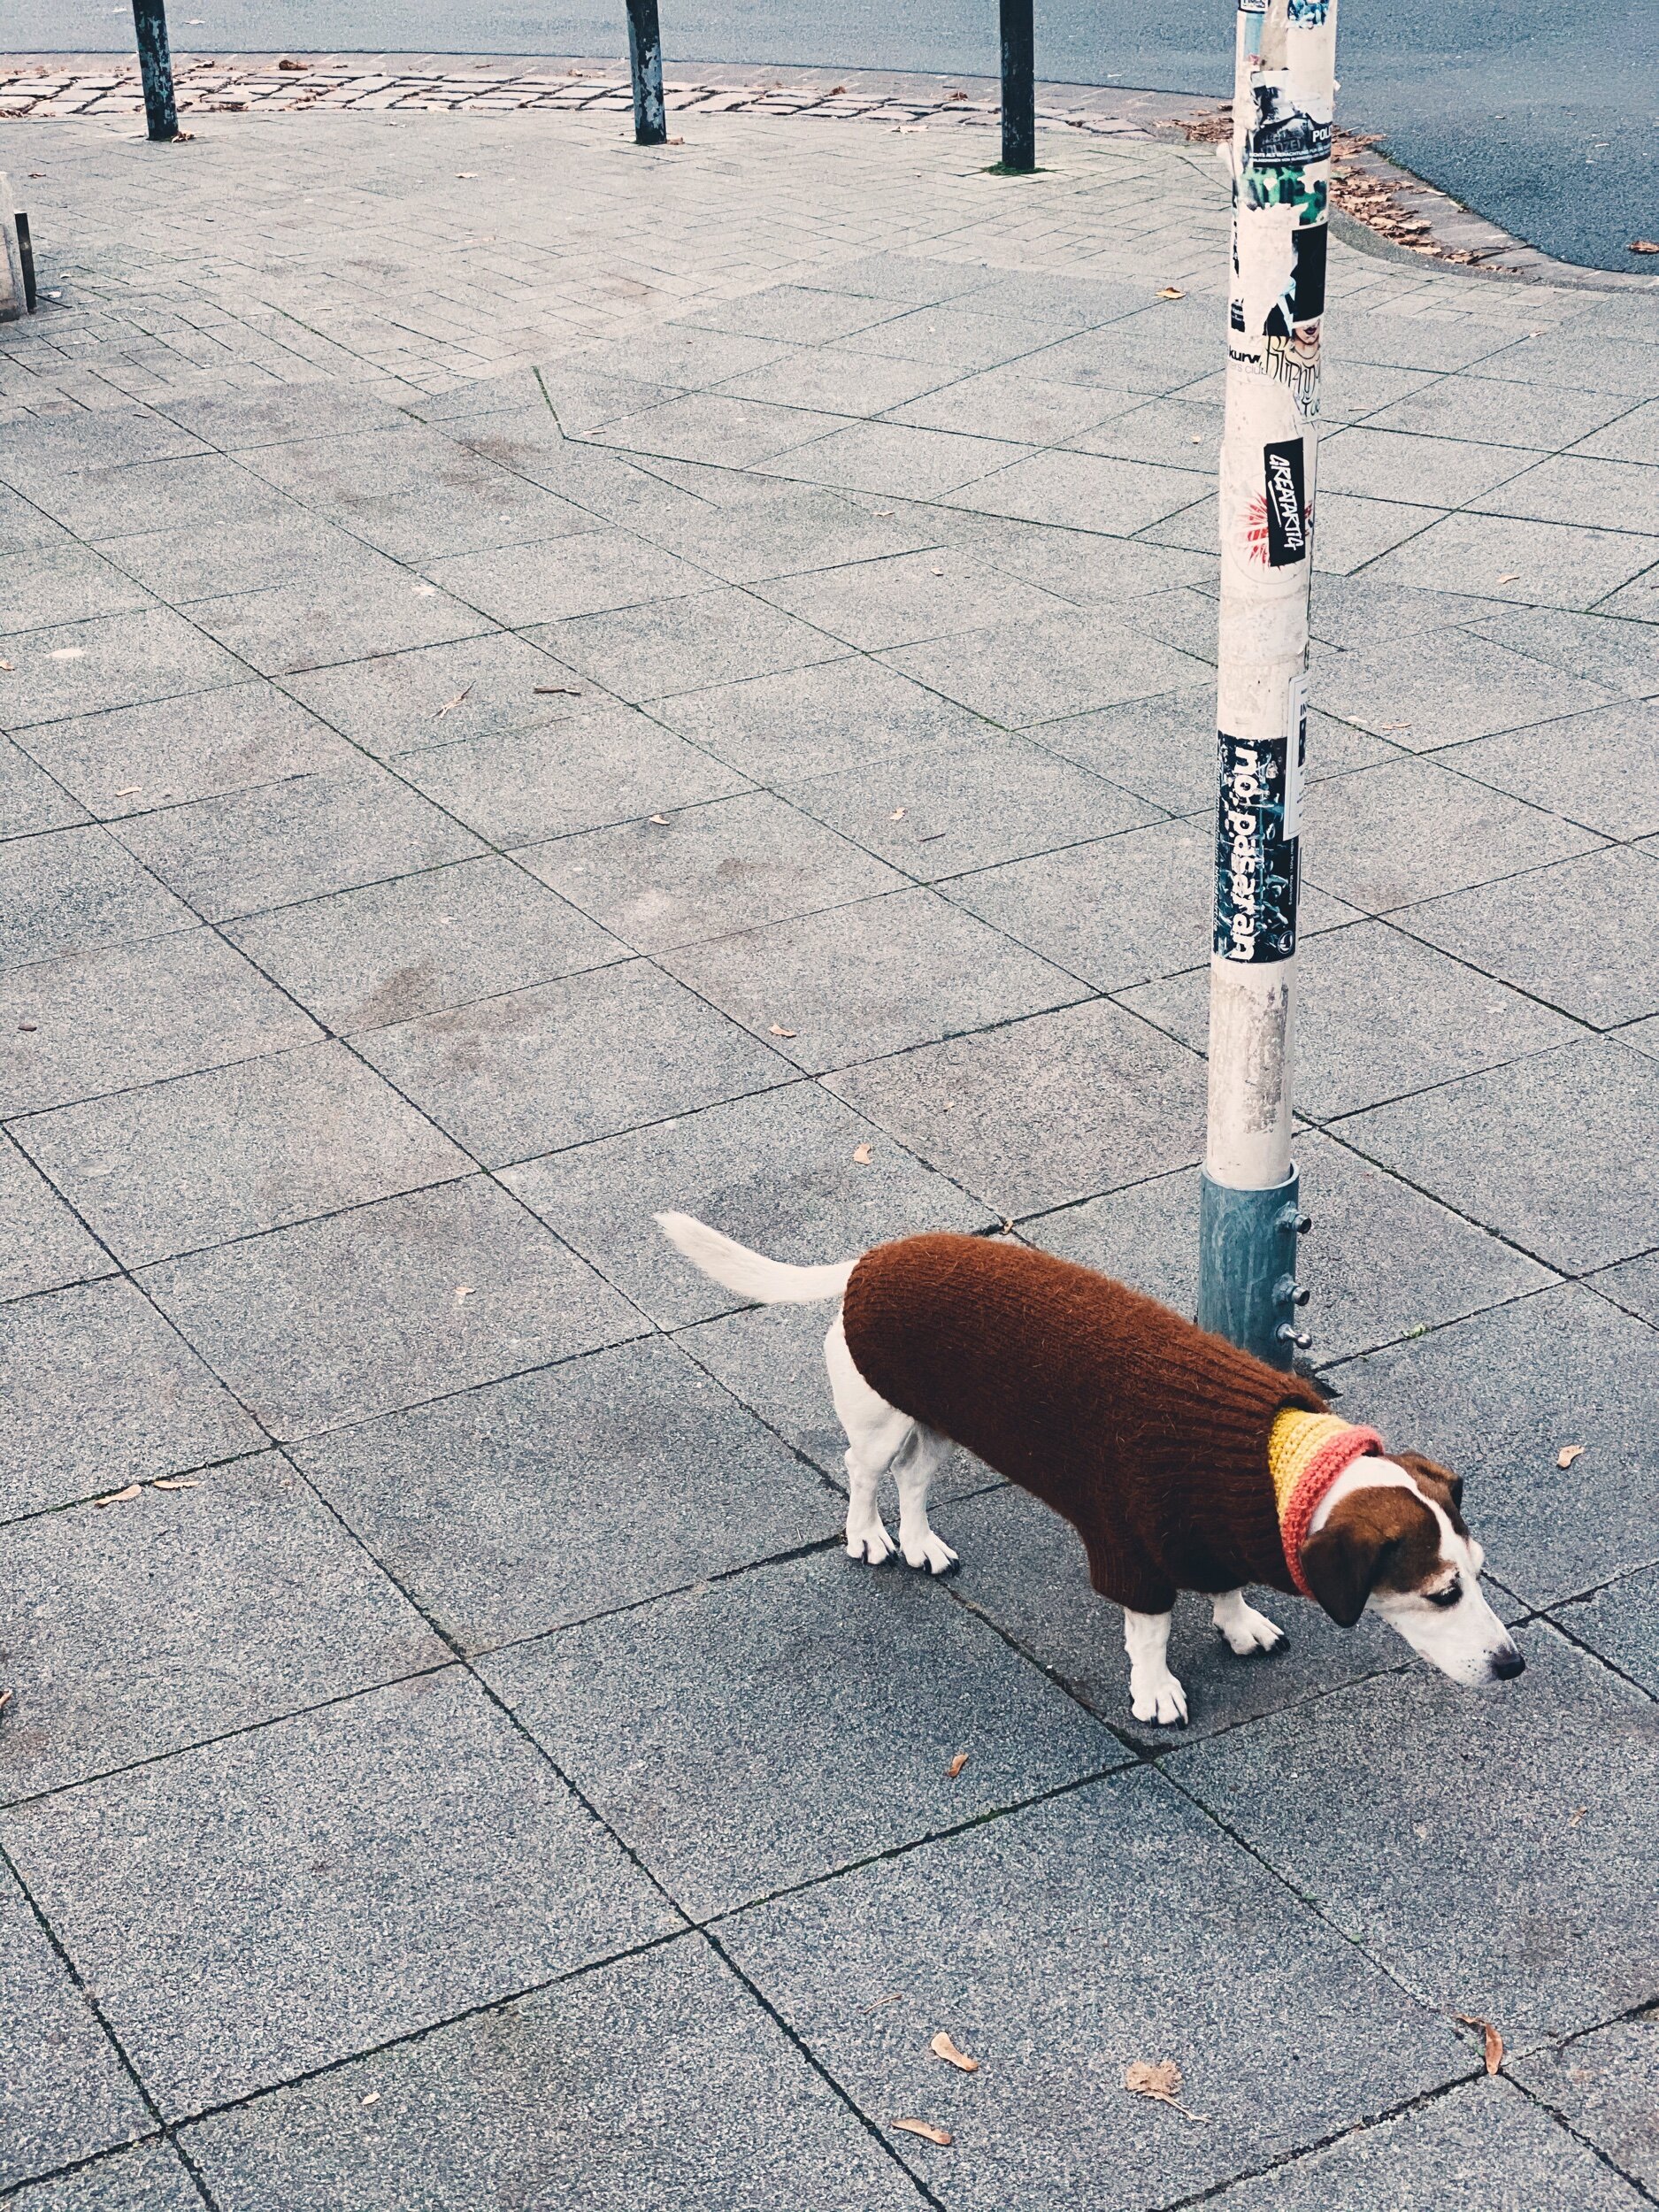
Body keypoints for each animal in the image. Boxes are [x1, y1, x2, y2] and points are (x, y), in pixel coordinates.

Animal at [657, 1215, 1524, 1724]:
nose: (1514, 1665)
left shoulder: (1211, 1533)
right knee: (866, 1472)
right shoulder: (1131, 1553)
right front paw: (1154, 1689)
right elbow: (1150, 1635)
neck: (1271, 1463)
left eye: (1479, 1574)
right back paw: (869, 1535)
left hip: (940, 1426)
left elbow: (1226, 1588)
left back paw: (923, 1544)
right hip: (880, 1420)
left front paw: (1239, 1623)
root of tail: (869, 1261)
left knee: (915, 1482)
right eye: (1440, 1594)